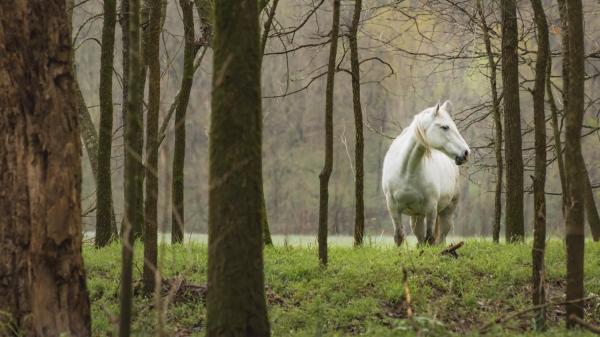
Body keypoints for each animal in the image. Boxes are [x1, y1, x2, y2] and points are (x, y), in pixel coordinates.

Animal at [382, 100, 472, 244]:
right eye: (445, 127)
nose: (466, 153)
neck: (407, 172)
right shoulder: (393, 208)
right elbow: (399, 238)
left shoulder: (431, 209)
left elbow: (430, 238)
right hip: (416, 216)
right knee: (420, 240)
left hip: (446, 213)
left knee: (440, 239)